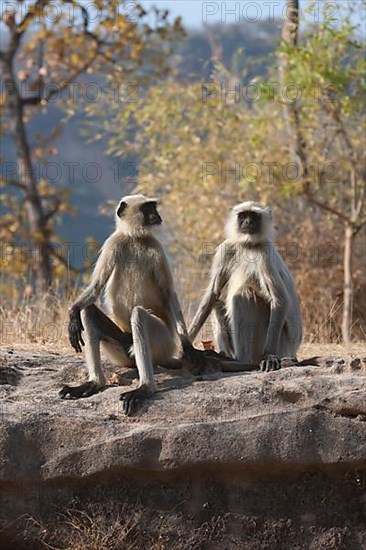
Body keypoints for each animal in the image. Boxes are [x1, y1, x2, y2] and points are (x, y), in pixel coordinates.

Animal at [58, 196, 204, 416]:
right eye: (148, 208)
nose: (157, 215)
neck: (134, 237)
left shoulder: (157, 248)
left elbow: (169, 293)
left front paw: (188, 346)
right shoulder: (113, 243)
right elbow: (96, 286)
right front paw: (72, 314)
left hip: (163, 344)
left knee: (139, 315)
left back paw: (145, 388)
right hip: (122, 352)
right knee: (89, 310)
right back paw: (94, 383)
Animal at [189, 203, 304, 376]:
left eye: (254, 216)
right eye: (243, 216)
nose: (248, 222)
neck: (247, 245)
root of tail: (293, 351)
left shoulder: (264, 253)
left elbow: (279, 299)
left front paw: (269, 356)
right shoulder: (226, 248)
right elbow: (213, 293)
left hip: (279, 343)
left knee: (244, 294)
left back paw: (242, 361)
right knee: (217, 304)